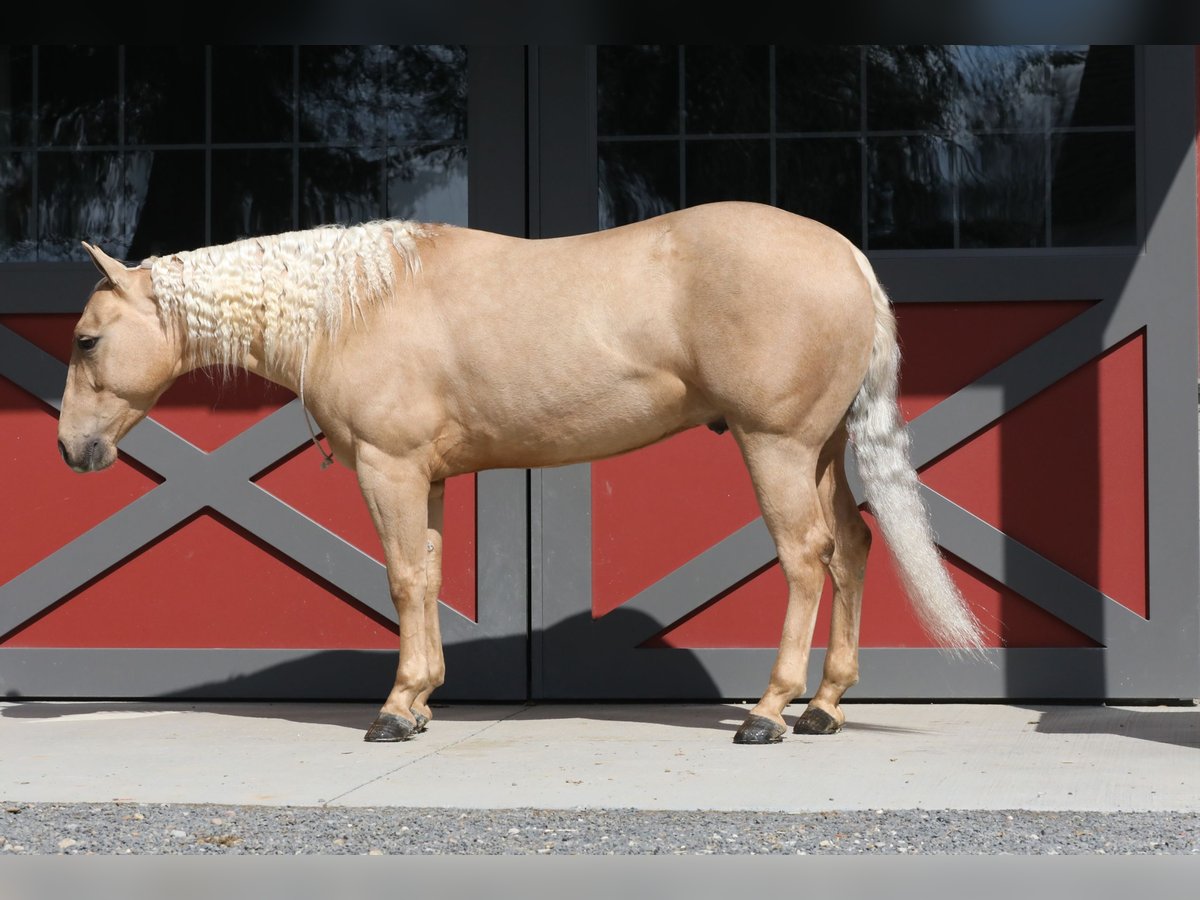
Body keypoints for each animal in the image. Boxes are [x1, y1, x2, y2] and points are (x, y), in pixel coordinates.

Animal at [56, 204, 979, 748]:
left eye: (88, 340)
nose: (70, 450)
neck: (357, 305)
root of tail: (846, 255)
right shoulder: (423, 476)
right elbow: (427, 577)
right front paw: (422, 699)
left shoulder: (389, 468)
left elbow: (402, 579)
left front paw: (394, 710)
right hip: (818, 450)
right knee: (853, 547)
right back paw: (824, 706)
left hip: (776, 445)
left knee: (804, 556)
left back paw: (768, 711)